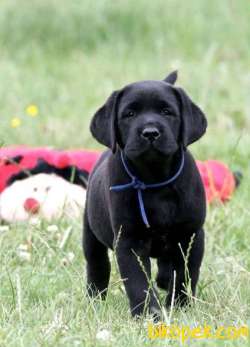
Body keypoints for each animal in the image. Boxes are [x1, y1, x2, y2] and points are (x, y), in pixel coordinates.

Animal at [83, 72, 207, 320]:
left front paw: (180, 305)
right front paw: (149, 314)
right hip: (90, 232)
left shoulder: (191, 235)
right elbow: (138, 282)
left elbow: (184, 274)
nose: (150, 132)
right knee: (97, 264)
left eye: (167, 112)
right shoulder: (129, 241)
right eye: (129, 114)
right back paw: (95, 299)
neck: (154, 179)